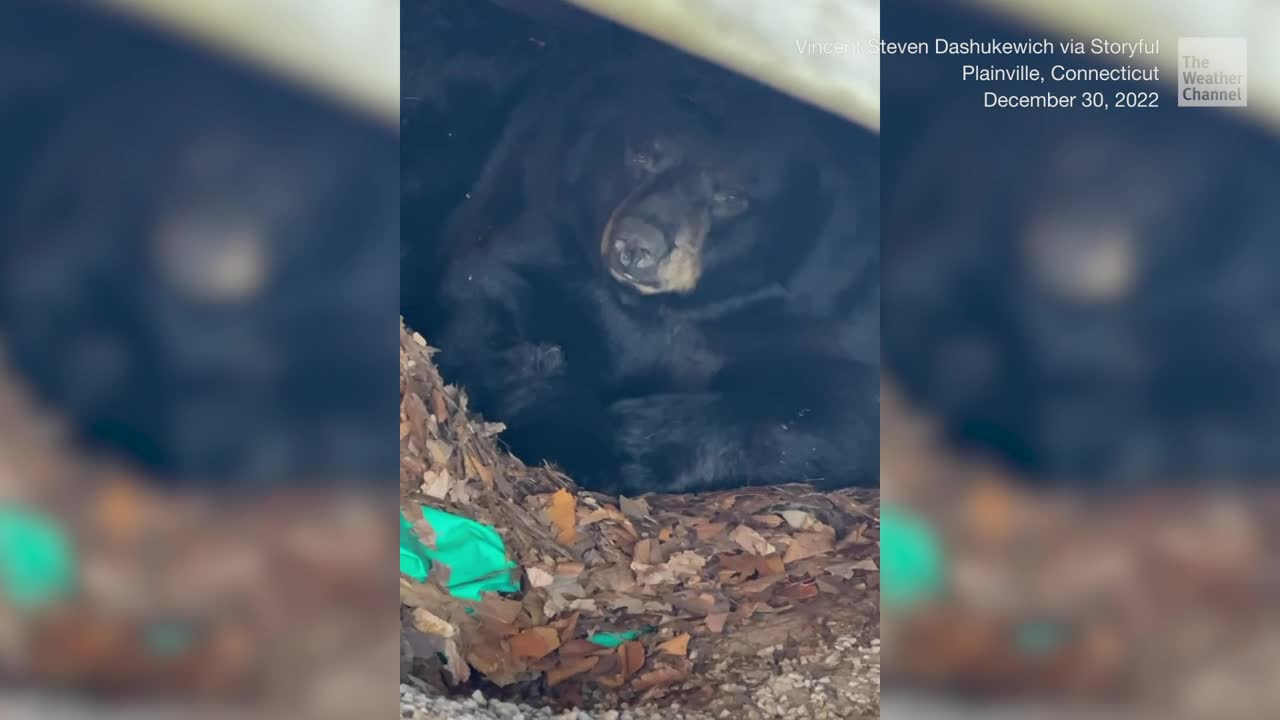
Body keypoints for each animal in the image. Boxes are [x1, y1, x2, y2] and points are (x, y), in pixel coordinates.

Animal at [424, 54, 881, 494]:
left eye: (731, 196)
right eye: (643, 154)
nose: (636, 245)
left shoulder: (820, 306)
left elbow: (847, 408)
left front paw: (634, 440)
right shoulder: (546, 213)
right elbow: (485, 293)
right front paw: (553, 395)